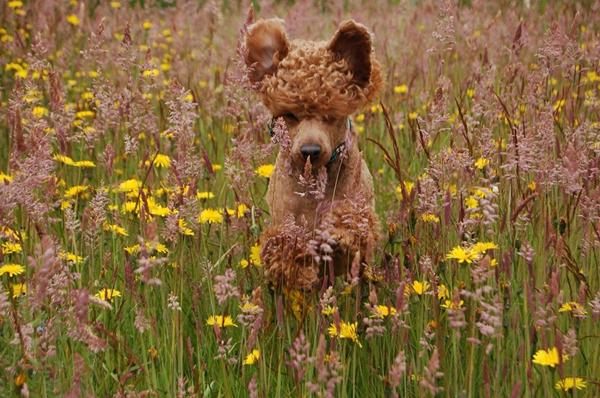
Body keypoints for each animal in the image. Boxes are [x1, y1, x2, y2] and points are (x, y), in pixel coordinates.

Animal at [245, 17, 382, 290]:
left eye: (332, 114)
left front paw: (337, 229)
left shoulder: (361, 214)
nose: (310, 151)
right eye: (289, 115)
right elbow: (285, 247)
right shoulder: (284, 220)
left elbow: (353, 225)